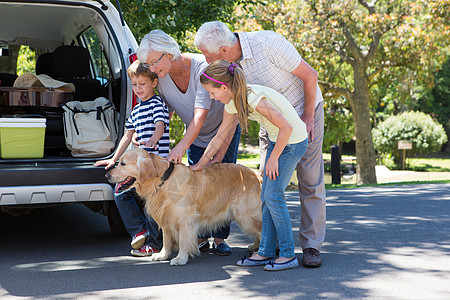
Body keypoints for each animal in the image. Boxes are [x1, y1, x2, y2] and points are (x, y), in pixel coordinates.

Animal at [107, 148, 262, 264]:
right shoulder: (166, 219)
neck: (162, 181)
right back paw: (255, 247)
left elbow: (183, 240)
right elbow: (166, 240)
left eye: (123, 163)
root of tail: (256, 174)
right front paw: (163, 255)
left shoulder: (185, 220)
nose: (107, 175)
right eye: (118, 162)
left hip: (245, 215)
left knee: (262, 230)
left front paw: (180, 258)